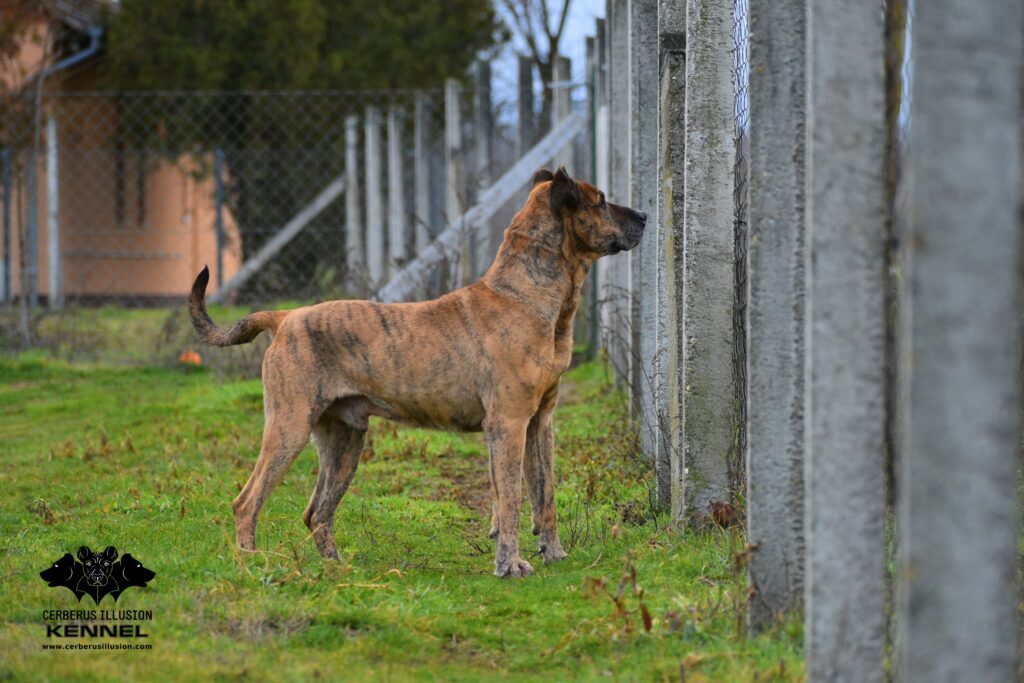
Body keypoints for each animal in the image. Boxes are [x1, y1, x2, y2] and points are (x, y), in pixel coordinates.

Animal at [188, 165, 643, 577]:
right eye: (601, 201)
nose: (643, 215)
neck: (525, 295)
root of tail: (284, 318)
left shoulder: (539, 424)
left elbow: (543, 496)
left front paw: (553, 553)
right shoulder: (509, 423)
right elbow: (511, 500)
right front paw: (510, 564)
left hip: (343, 442)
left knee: (317, 512)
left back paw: (336, 567)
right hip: (288, 428)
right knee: (247, 502)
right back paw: (252, 562)